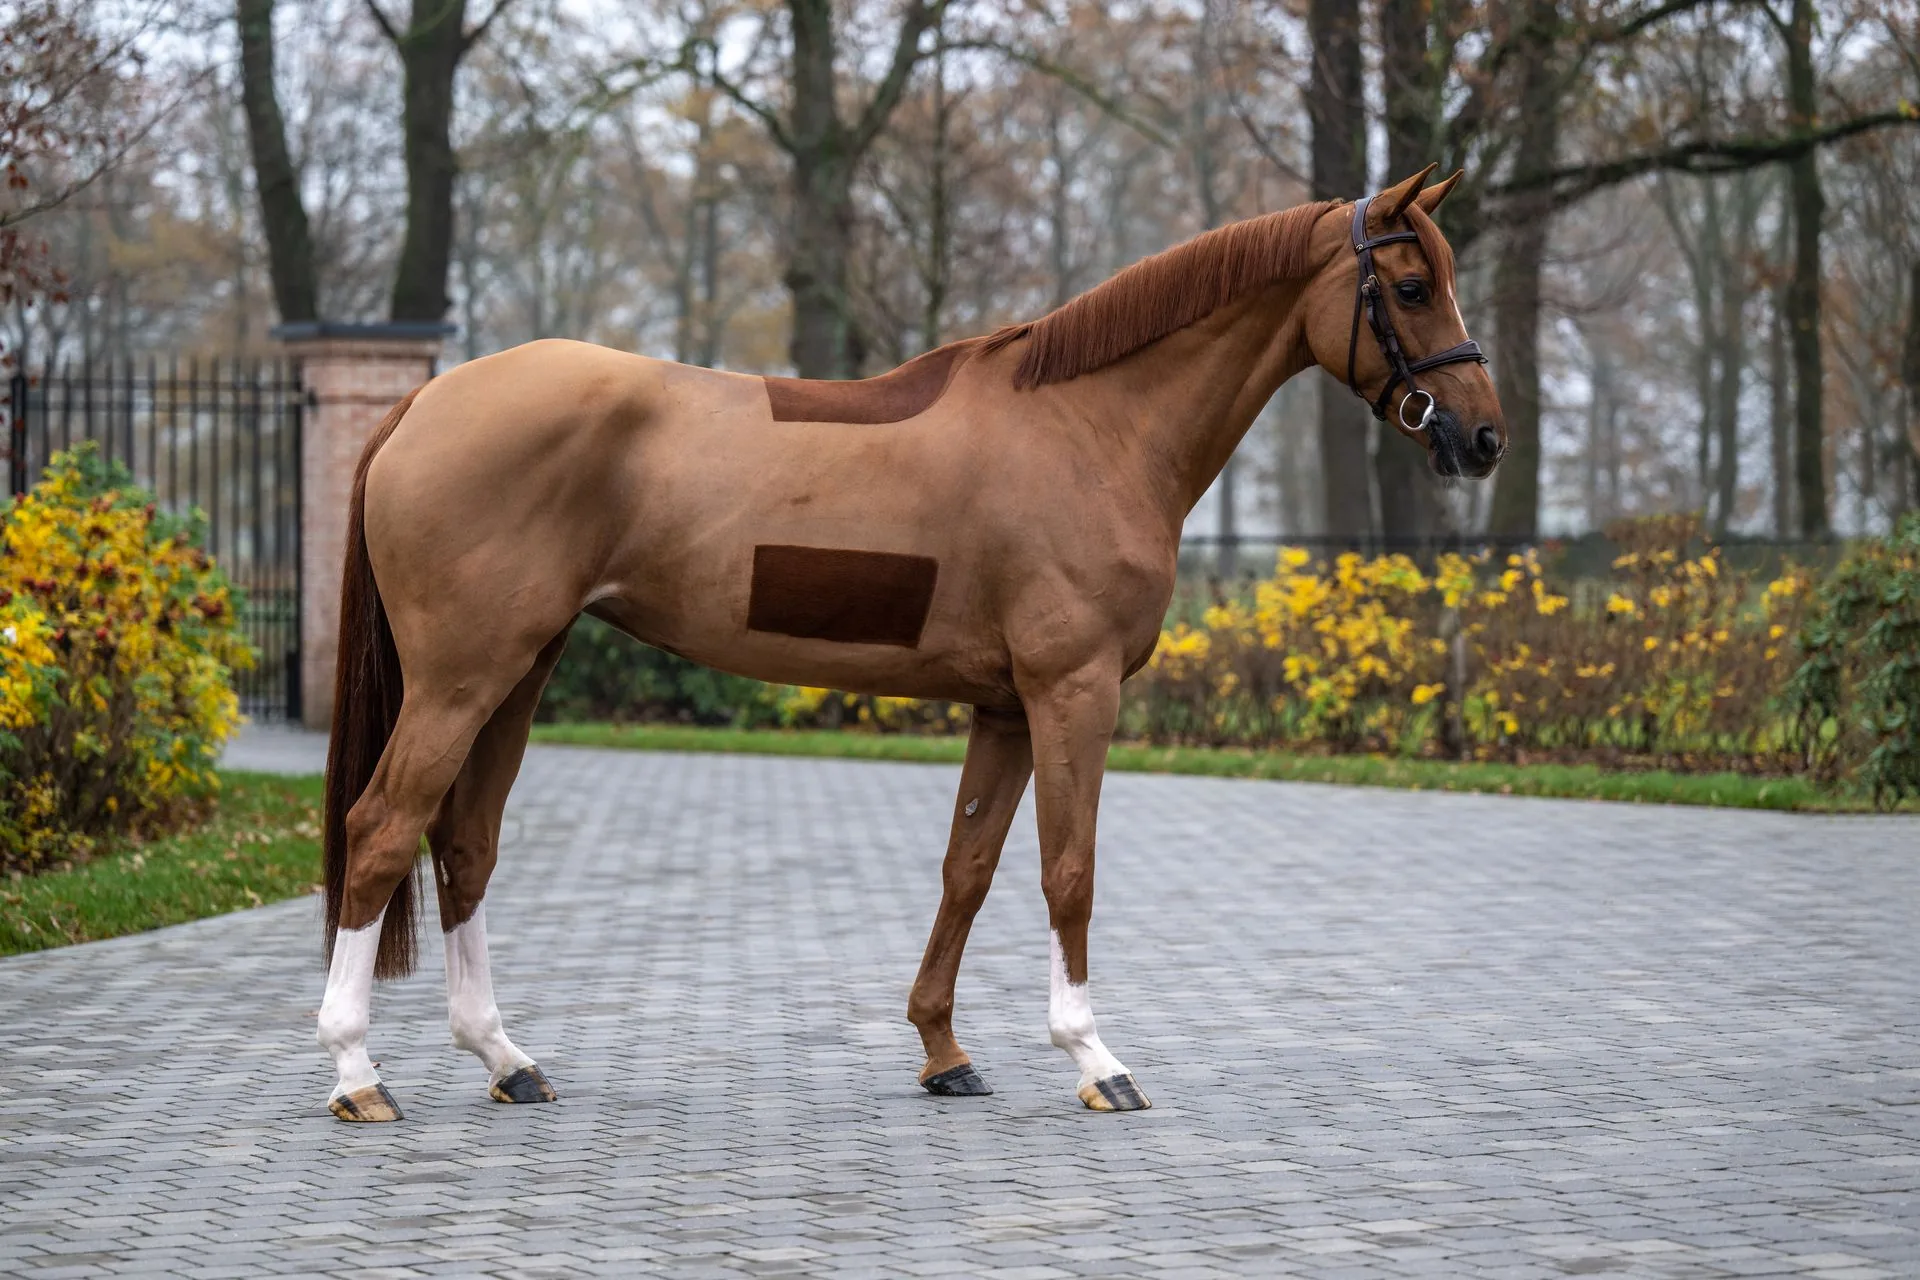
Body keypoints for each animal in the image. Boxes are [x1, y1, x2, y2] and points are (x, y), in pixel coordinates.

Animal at [315, 165, 1504, 1122]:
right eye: (1410, 288)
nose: (1484, 436)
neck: (1091, 428)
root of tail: (423, 402)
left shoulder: (1006, 706)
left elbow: (966, 869)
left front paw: (943, 1052)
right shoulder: (1073, 692)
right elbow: (1068, 870)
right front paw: (1095, 1058)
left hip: (522, 669)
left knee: (464, 842)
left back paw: (505, 1058)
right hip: (462, 678)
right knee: (382, 830)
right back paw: (358, 1073)